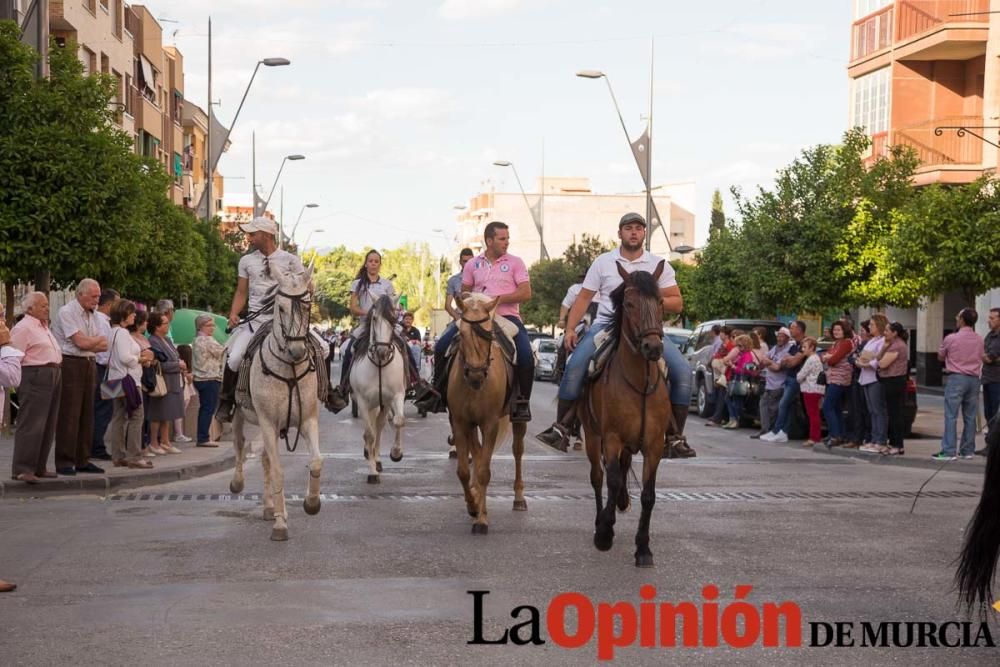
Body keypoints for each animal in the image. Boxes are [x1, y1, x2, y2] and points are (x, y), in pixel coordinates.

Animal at [228, 266, 322, 544]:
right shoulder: (268, 422)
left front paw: (311, 503)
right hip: (240, 416)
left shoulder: (307, 420)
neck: (288, 369)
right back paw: (238, 483)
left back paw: (270, 507)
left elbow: (316, 461)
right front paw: (281, 525)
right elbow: (279, 470)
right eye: (280, 307)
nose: (297, 351)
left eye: (307, 304)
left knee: (264, 459)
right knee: (240, 445)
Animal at [348, 294, 402, 482]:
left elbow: (398, 421)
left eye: (394, 320)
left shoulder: (396, 396)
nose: (382, 351)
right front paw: (372, 473)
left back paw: (377, 459)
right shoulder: (363, 401)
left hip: (382, 404)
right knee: (371, 429)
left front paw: (396, 453)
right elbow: (369, 434)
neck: (379, 364)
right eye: (374, 318)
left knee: (379, 426)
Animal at [452, 294, 532, 536]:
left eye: (489, 334)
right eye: (461, 334)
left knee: (517, 451)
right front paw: (472, 505)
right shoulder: (461, 423)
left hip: (518, 420)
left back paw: (518, 498)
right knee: (477, 454)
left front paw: (481, 520)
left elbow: (484, 471)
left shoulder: (490, 424)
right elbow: (464, 470)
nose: (476, 375)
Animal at [580, 262, 672, 568]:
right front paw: (604, 534)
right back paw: (601, 521)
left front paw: (643, 548)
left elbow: (648, 495)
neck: (639, 384)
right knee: (598, 477)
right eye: (629, 304)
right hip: (592, 435)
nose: (653, 348)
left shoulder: (654, 445)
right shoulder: (611, 438)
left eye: (661, 302)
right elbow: (611, 479)